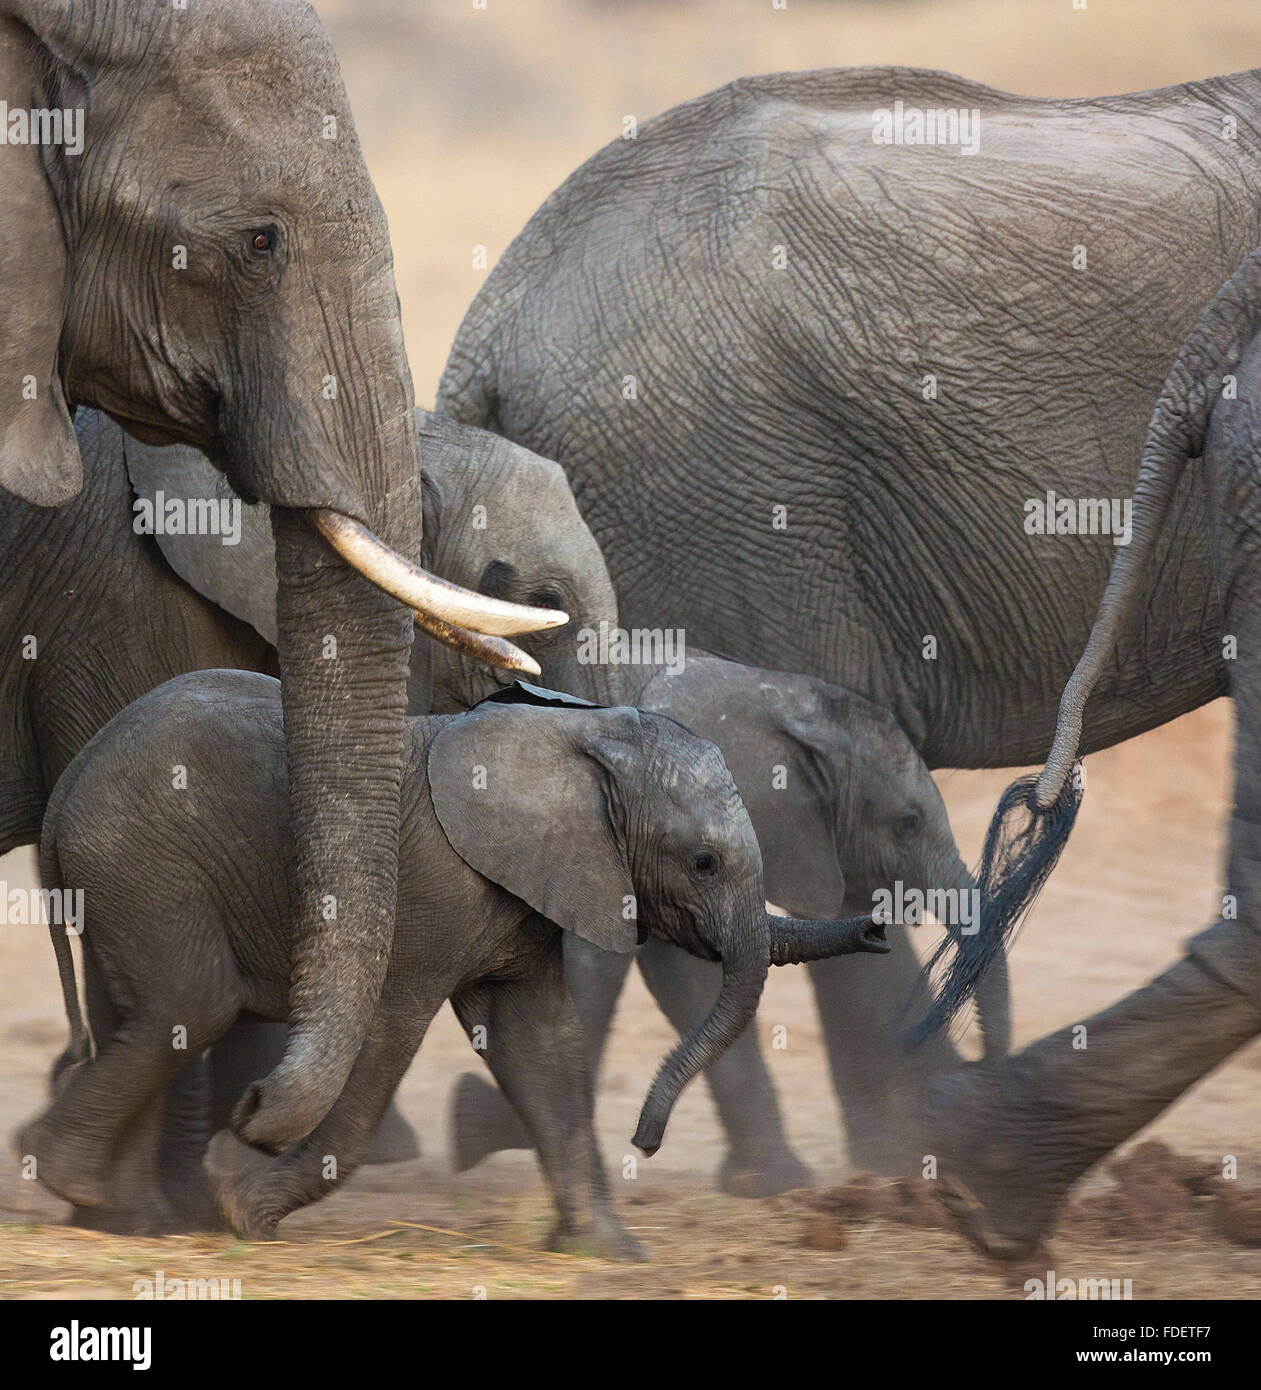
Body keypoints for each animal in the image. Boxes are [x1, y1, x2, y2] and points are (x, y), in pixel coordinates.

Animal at [22, 667, 889, 1256]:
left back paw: (111, 1210)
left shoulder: (528, 895)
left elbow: (538, 1047)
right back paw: (72, 1180)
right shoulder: (436, 890)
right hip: (143, 861)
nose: (881, 927)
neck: (577, 739)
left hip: (124, 875)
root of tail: (65, 790)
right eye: (704, 863)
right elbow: (389, 1038)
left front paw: (606, 1251)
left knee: (143, 1015)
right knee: (188, 1007)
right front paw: (246, 1213)